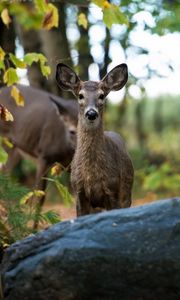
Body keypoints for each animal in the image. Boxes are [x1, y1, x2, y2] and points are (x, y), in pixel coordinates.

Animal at [56, 62, 134, 216]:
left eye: (101, 96)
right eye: (80, 95)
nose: (91, 113)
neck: (92, 176)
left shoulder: (113, 190)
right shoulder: (79, 192)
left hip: (126, 194)